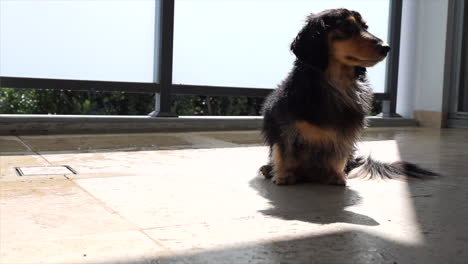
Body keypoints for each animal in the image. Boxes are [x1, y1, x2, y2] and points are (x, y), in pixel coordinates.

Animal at [260, 8, 436, 186]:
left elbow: (338, 156)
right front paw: (284, 174)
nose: (386, 47)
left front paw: (336, 175)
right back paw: (268, 168)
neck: (336, 84)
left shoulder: (345, 134)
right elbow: (284, 151)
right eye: (346, 27)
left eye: (366, 27)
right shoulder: (286, 128)